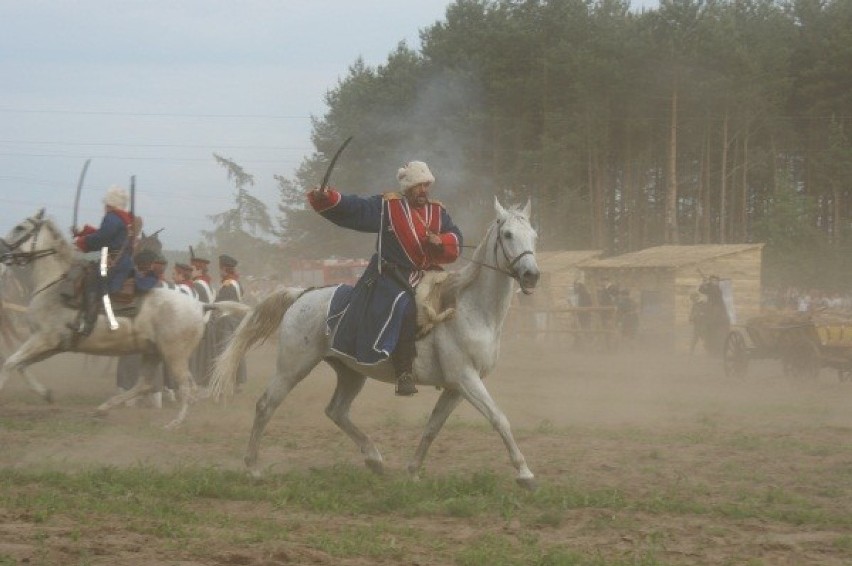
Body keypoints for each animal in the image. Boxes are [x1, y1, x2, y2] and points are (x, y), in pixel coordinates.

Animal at [0, 211, 226, 428]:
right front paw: (46, 394)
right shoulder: (51, 345)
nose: (2, 251)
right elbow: (20, 365)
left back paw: (174, 422)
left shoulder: (44, 339)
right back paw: (105, 408)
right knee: (146, 384)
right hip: (153, 352)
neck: (55, 285)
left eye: (20, 227)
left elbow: (9, 364)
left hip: (174, 355)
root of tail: (199, 306)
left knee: (183, 385)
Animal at [208, 199, 540, 488]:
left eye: (534, 235)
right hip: (293, 367)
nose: (531, 275)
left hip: (351, 372)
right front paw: (525, 474)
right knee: (266, 405)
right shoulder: (466, 378)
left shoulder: (456, 387)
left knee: (336, 411)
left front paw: (413, 471)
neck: (469, 308)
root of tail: (302, 293)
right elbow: (499, 418)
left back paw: (374, 459)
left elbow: (433, 427)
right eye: (508, 234)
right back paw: (253, 468)